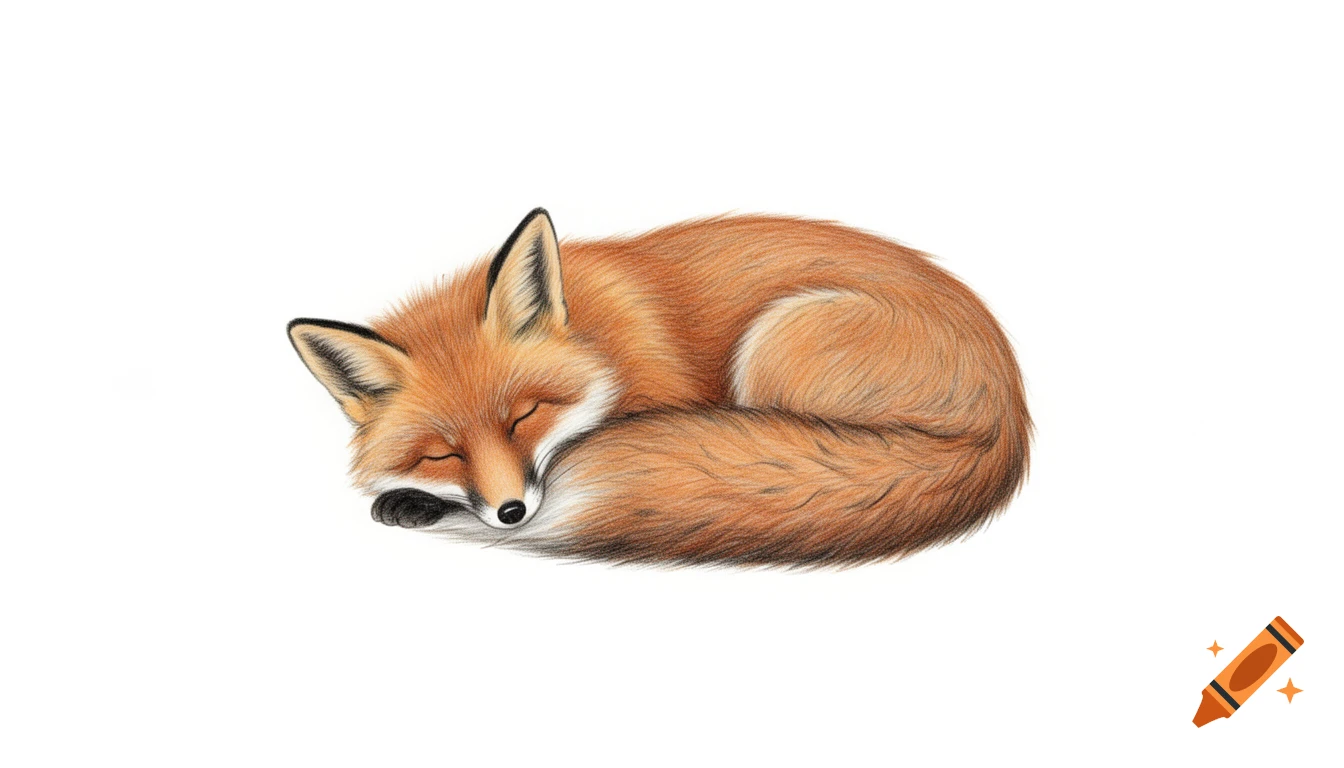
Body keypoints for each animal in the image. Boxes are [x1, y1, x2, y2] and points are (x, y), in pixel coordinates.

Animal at [288, 209, 1030, 566]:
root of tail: (1007, 428)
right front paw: (410, 499)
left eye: (526, 415)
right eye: (443, 452)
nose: (511, 513)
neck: (598, 336)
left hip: (779, 338)